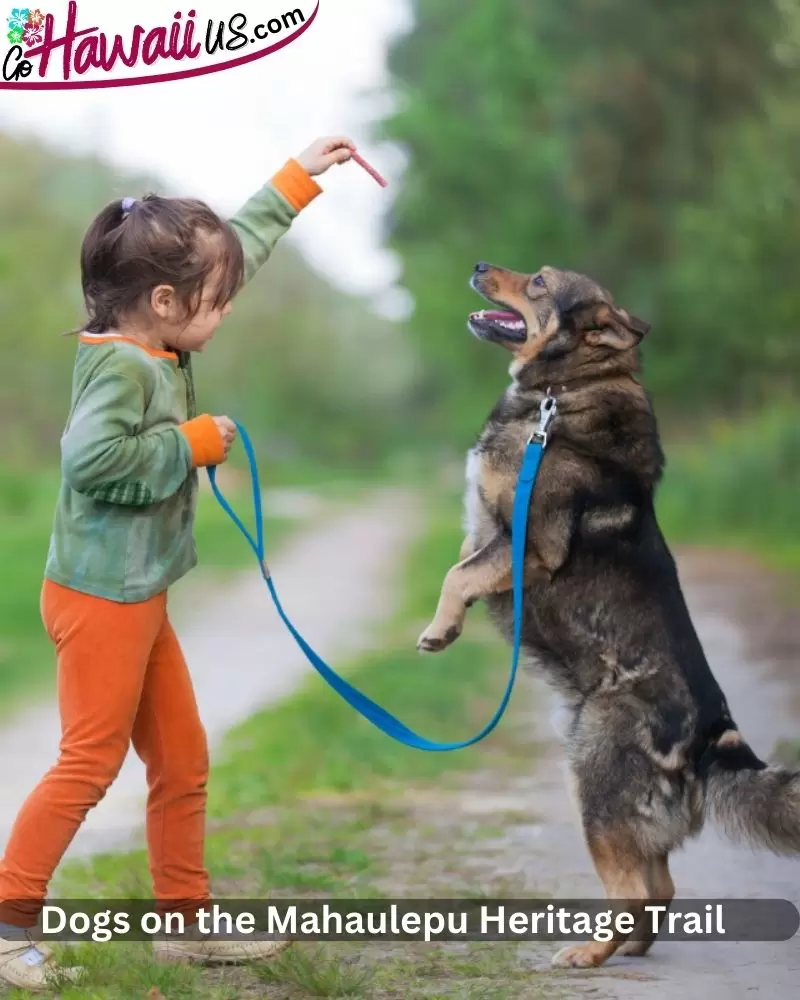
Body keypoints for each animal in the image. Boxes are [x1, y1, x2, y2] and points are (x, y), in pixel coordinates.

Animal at [416, 260, 800, 968]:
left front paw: (439, 629)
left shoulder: (530, 545)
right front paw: (450, 619)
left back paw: (589, 953)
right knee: (660, 888)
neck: (564, 391)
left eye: (539, 282)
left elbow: (459, 574)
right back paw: (627, 949)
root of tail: (716, 733)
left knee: (633, 890)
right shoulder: (487, 533)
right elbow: (463, 562)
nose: (480, 266)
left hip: (592, 785)